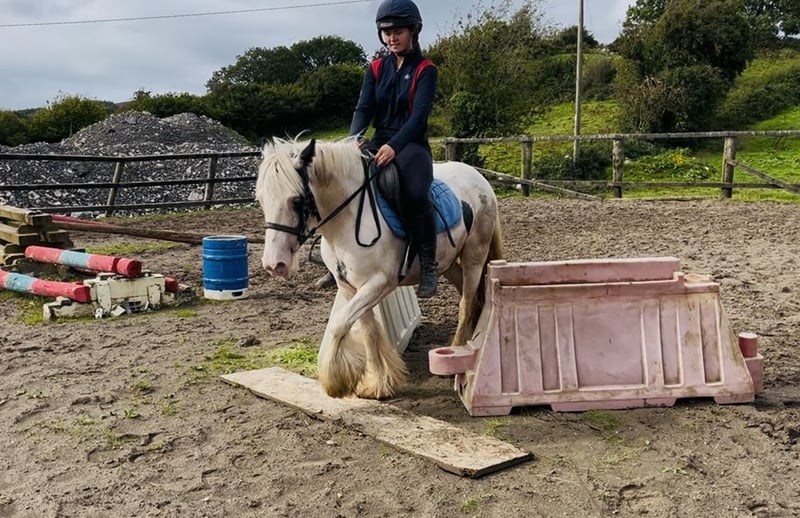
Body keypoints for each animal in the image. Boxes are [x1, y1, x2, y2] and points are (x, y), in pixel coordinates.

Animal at [255, 137, 503, 400]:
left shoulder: (378, 283)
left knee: (467, 302)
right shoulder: (349, 286)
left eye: (296, 200)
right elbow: (367, 332)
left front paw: (335, 380)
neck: (347, 218)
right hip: (447, 262)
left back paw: (453, 354)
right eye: (261, 200)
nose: (274, 264)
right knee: (470, 296)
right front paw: (378, 384)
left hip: (474, 255)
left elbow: (339, 324)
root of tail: (478, 178)